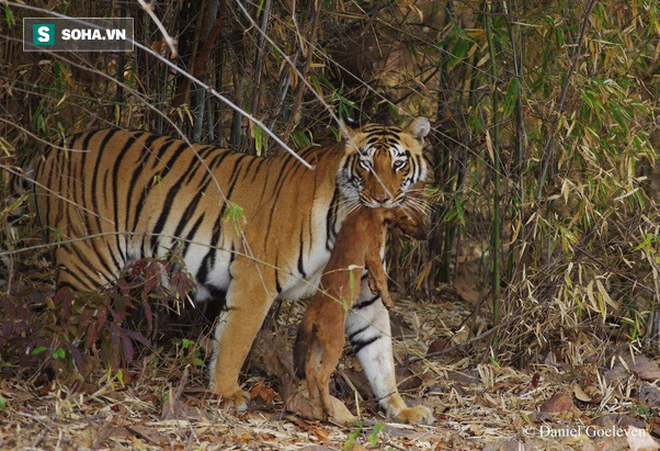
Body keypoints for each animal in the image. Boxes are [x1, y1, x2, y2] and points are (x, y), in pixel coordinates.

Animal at [25, 115, 436, 424]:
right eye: (365, 164)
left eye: (398, 163)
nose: (382, 198)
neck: (346, 215)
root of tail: (52, 147)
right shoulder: (256, 278)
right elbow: (235, 339)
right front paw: (226, 394)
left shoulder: (364, 295)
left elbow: (380, 352)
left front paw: (401, 408)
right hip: (87, 260)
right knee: (60, 324)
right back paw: (73, 380)